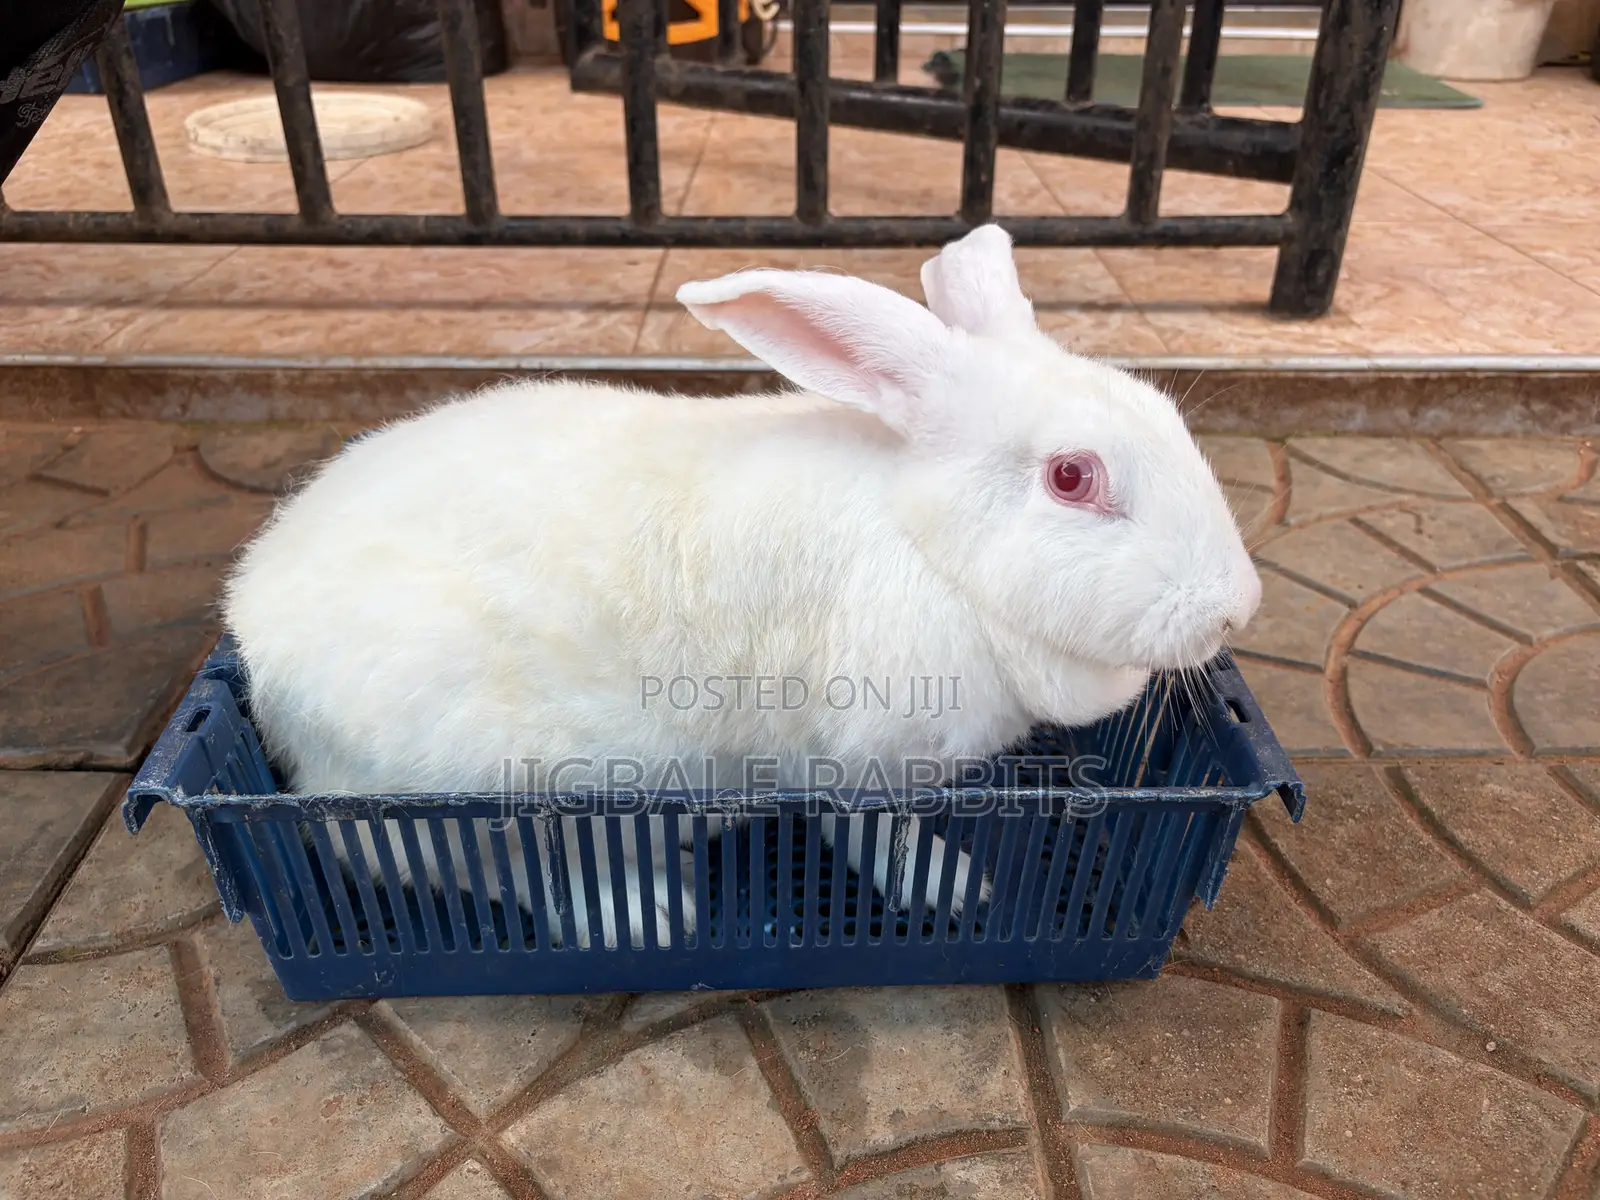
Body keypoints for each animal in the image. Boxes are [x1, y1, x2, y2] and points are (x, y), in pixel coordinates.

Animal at [221, 223, 1261, 951]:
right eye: (1072, 477)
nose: (1234, 608)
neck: (931, 550)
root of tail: (253, 627)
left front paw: (950, 881)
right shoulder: (867, 757)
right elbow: (878, 835)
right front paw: (953, 889)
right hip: (480, 781)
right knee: (467, 864)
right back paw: (642, 913)